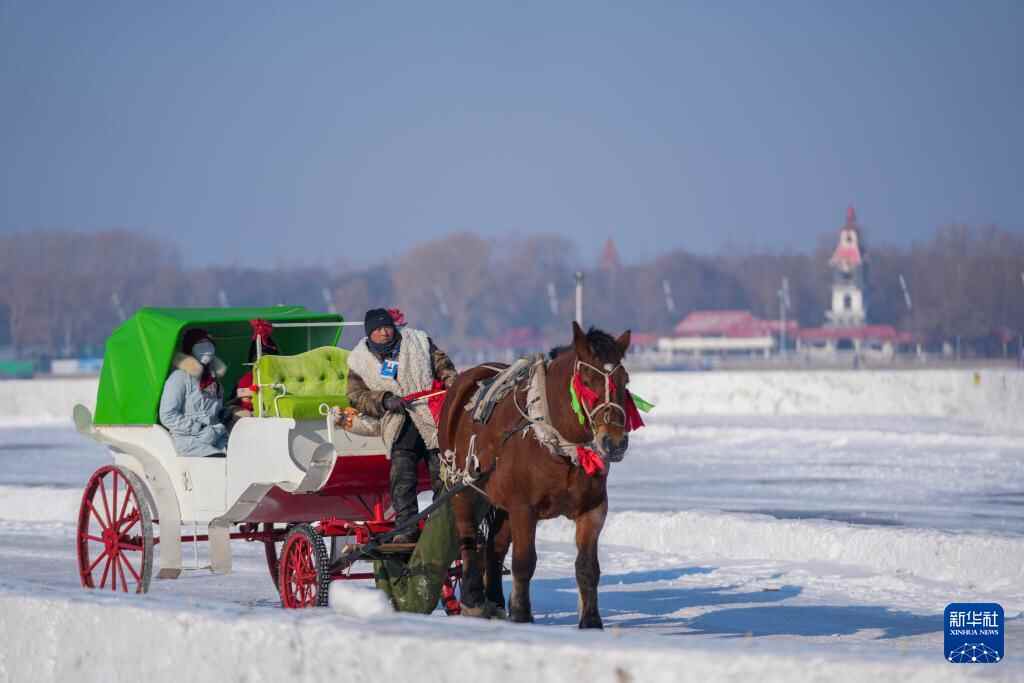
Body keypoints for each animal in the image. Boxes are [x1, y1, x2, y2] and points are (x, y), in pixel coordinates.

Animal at [438, 321, 632, 628]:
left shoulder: (593, 509)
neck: (559, 449)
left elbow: (587, 567)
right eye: (587, 380)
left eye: (625, 381)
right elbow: (524, 562)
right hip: (463, 486)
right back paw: (473, 599)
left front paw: (590, 621)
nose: (614, 442)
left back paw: (494, 600)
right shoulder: (523, 508)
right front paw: (521, 613)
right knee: (468, 538)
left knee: (494, 548)